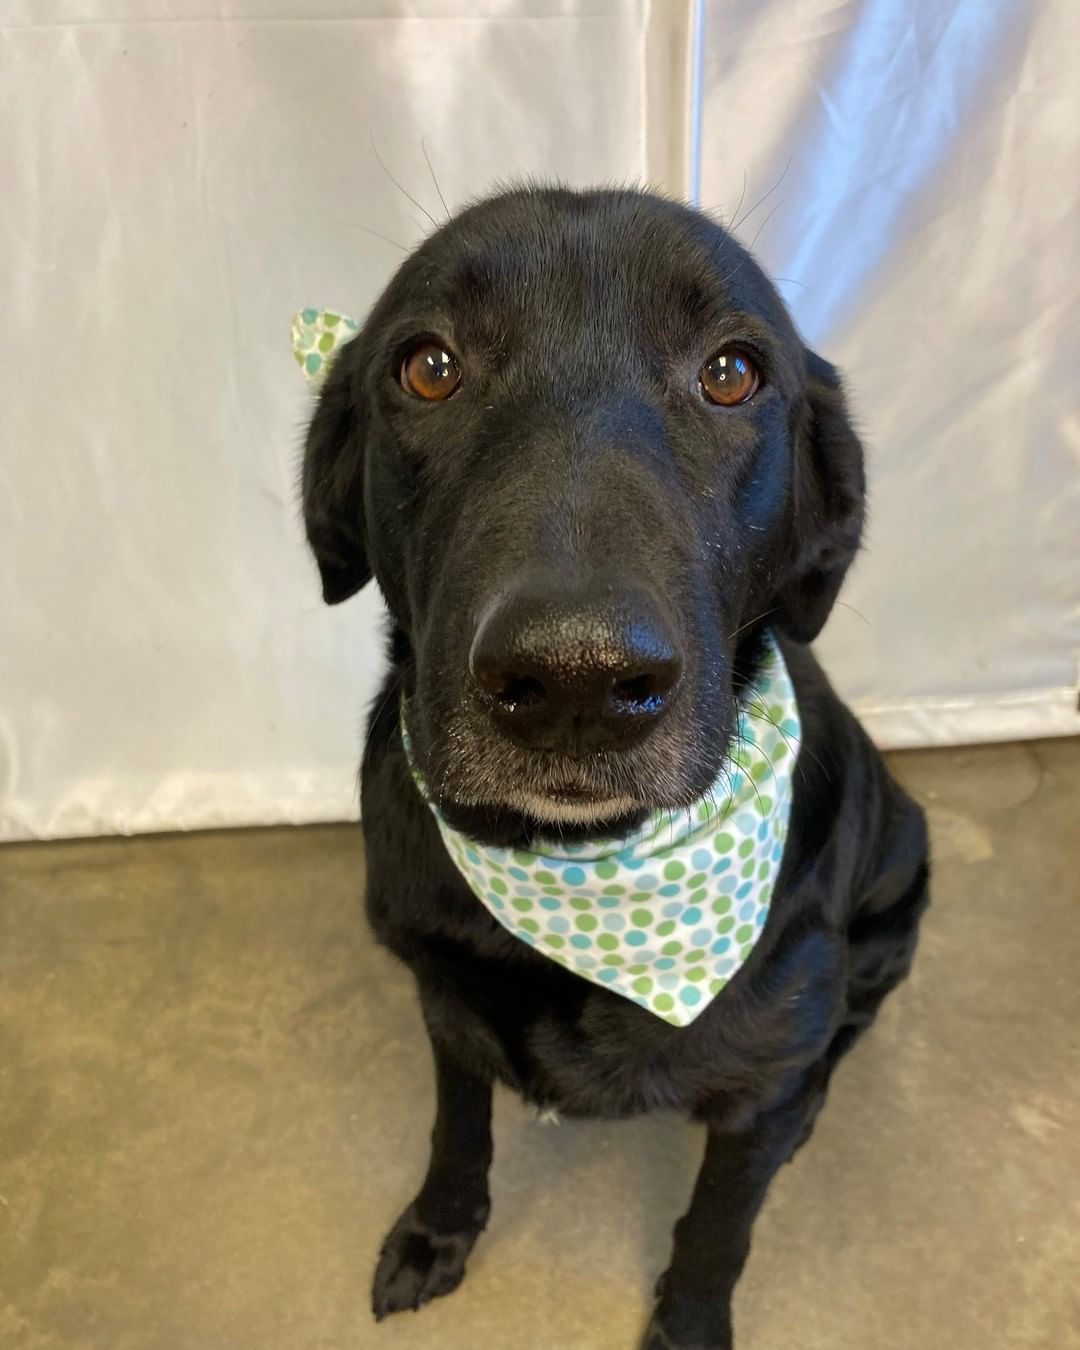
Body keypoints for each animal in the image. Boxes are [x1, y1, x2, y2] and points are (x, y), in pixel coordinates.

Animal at [303, 184, 928, 1344]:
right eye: (429, 365)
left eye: (731, 373)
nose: (577, 681)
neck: (581, 870)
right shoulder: (441, 998)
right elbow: (458, 1128)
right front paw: (438, 1229)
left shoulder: (756, 1092)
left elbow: (720, 1226)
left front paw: (686, 1323)